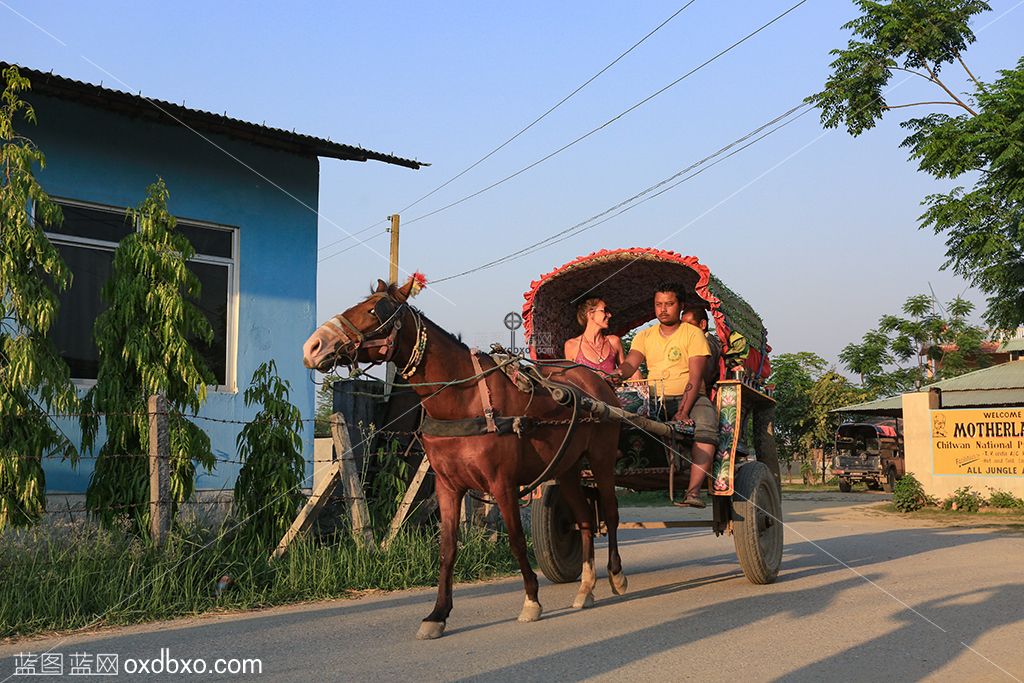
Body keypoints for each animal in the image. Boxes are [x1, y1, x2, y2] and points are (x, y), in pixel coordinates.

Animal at [299, 274, 626, 638]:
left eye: (374, 310)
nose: (313, 346)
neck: (465, 399)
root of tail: (597, 382)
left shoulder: (502, 484)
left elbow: (516, 540)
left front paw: (531, 600)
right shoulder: (447, 486)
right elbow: (447, 549)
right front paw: (438, 614)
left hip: (601, 460)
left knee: (611, 513)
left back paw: (615, 575)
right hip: (566, 468)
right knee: (583, 519)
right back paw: (585, 588)